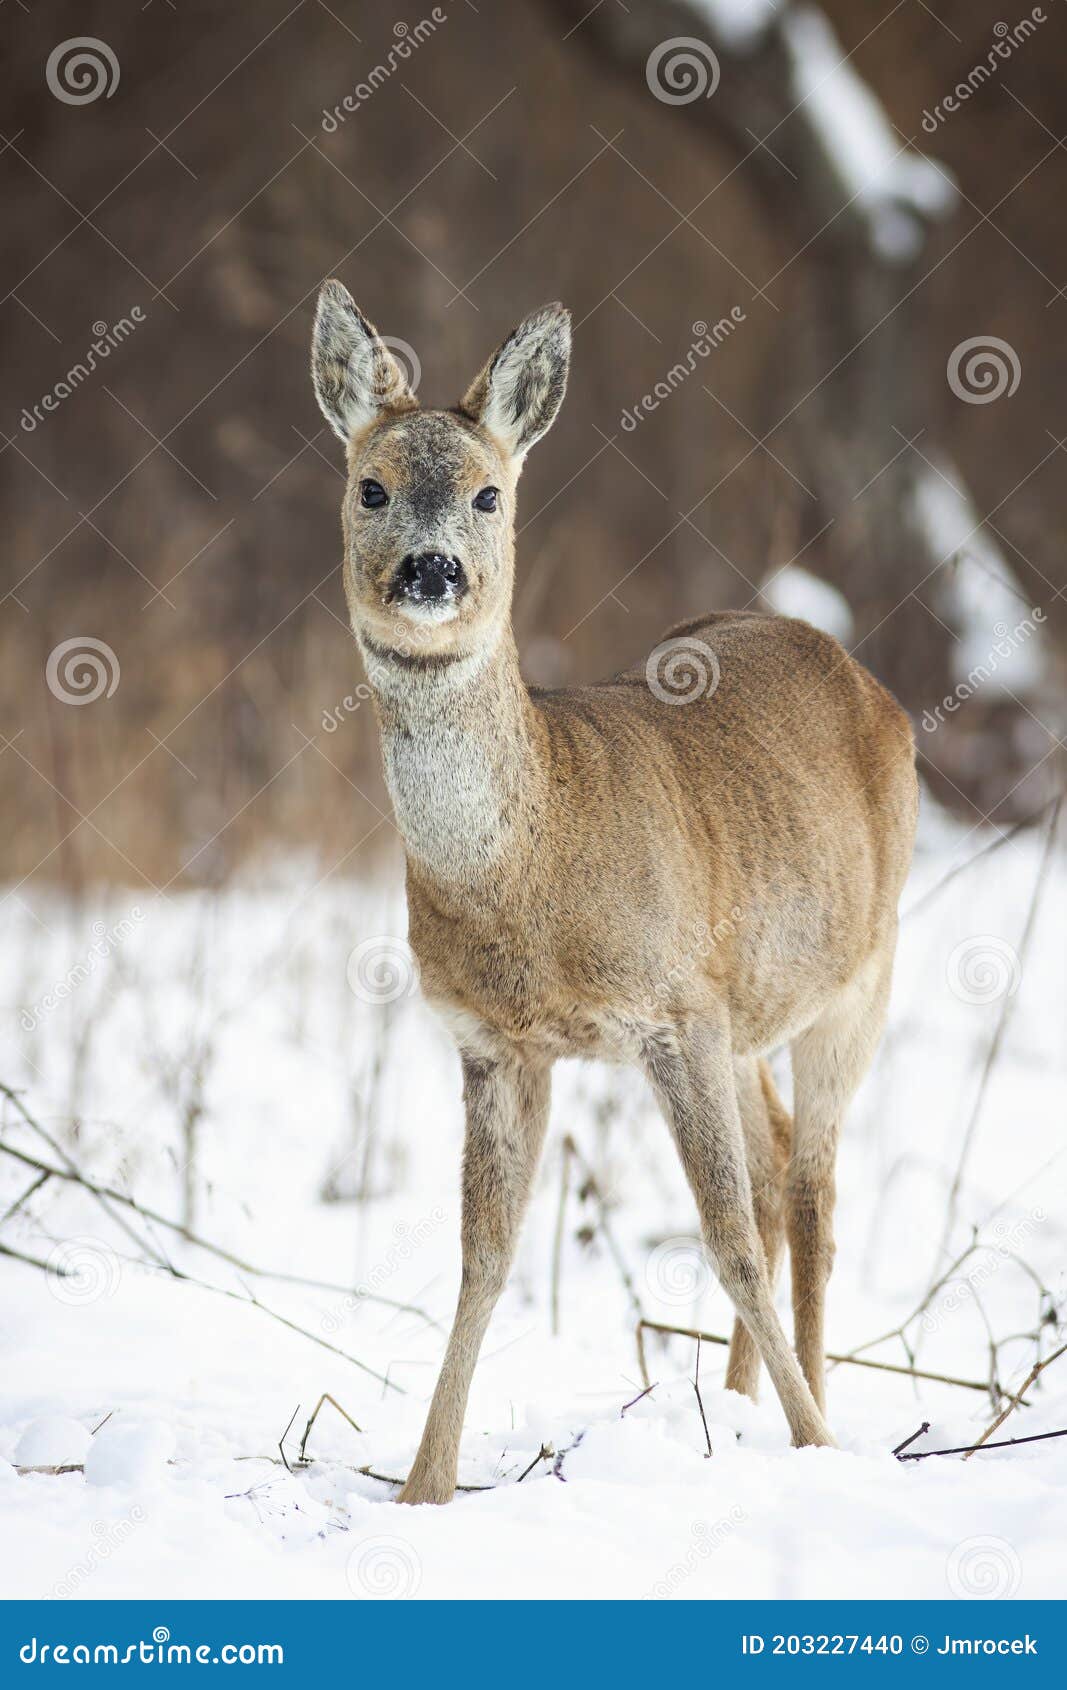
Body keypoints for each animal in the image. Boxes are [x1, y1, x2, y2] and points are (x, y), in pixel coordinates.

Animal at [312, 277, 919, 1507]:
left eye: (490, 492)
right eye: (370, 485)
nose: (431, 571)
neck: (531, 871)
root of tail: (857, 672)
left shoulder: (673, 1006)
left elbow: (721, 1235)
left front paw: (817, 1448)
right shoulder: (497, 1042)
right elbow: (481, 1254)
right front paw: (422, 1488)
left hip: (857, 978)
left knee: (811, 1186)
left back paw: (815, 1419)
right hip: (747, 1011)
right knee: (778, 1161)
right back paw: (736, 1406)